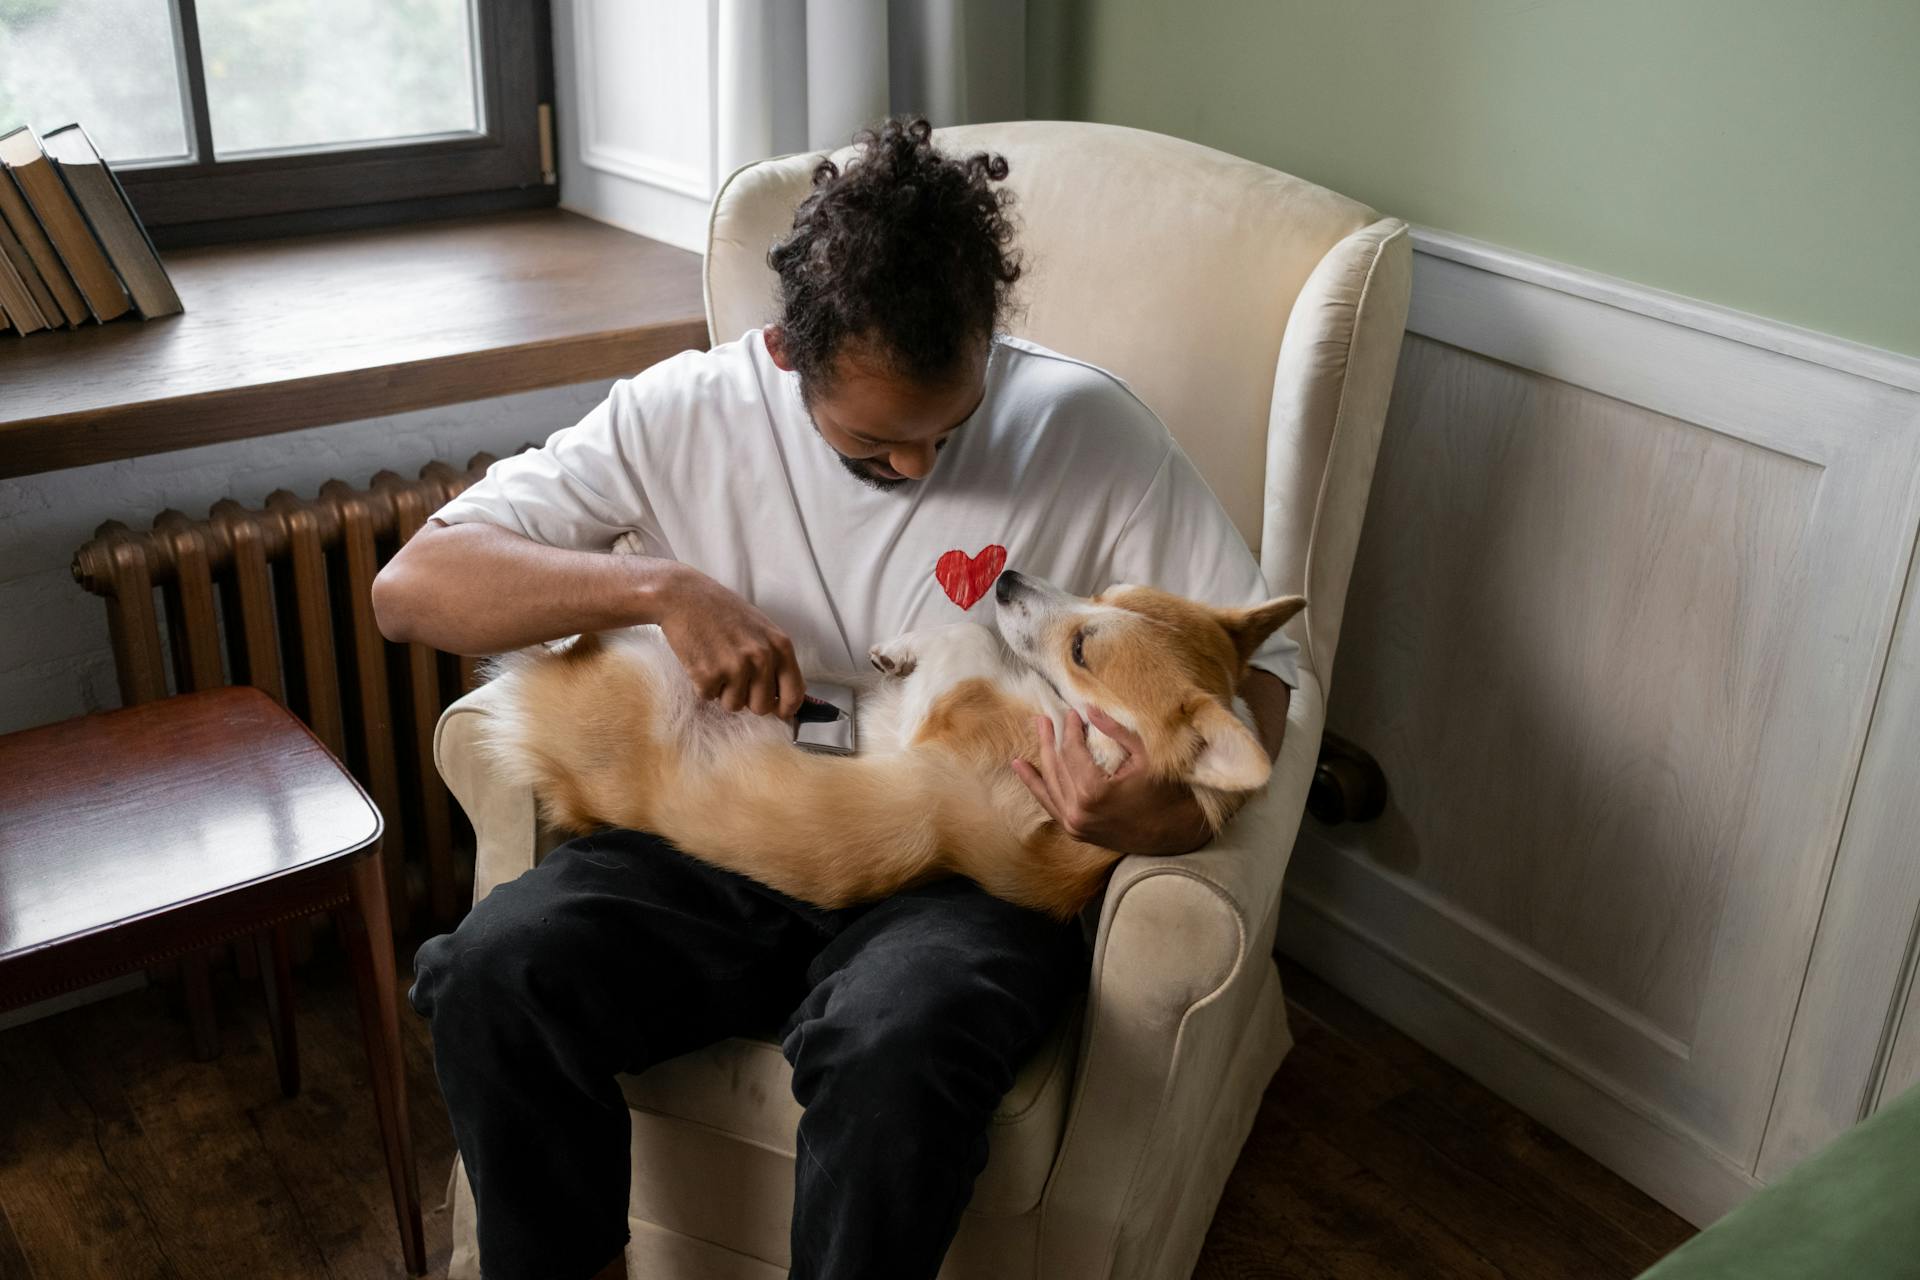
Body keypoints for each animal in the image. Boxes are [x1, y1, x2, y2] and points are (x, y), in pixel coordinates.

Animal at [480, 571, 1305, 921]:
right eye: (1104, 592)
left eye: (1081, 649)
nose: (1007, 577)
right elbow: (969, 632)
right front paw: (899, 648)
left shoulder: (950, 713)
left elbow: (970, 634)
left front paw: (901, 649)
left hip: (637, 671)